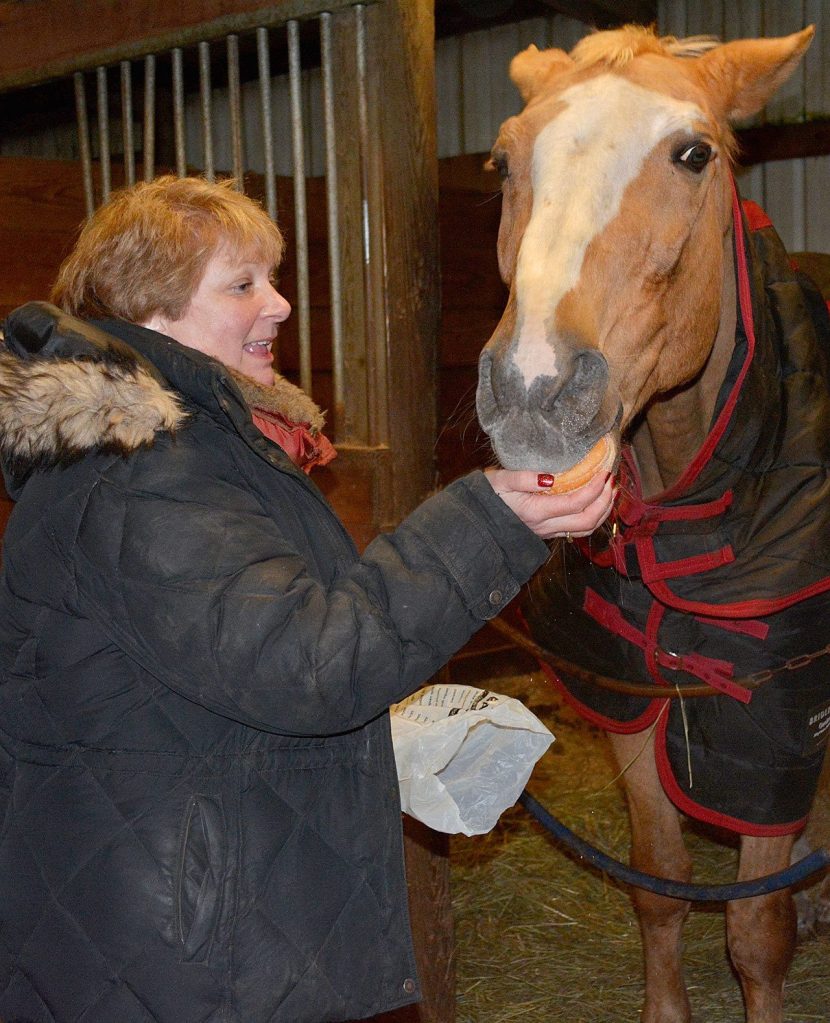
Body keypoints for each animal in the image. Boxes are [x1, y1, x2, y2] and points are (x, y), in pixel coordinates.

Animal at [475, 23, 830, 1023]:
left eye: (694, 154)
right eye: (504, 161)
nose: (534, 392)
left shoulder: (773, 720)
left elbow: (756, 929)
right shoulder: (629, 690)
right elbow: (658, 882)